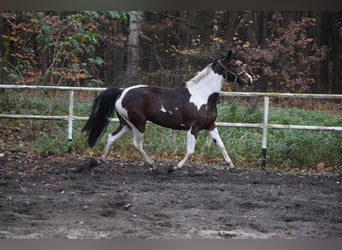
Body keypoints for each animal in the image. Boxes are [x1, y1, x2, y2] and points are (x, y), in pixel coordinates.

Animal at [83, 50, 251, 172]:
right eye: (234, 65)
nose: (249, 79)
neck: (203, 95)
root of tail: (121, 92)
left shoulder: (210, 125)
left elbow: (221, 145)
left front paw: (231, 166)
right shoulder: (194, 127)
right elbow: (190, 150)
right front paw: (174, 167)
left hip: (126, 124)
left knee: (111, 138)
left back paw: (100, 161)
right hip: (138, 123)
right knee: (137, 144)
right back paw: (152, 164)